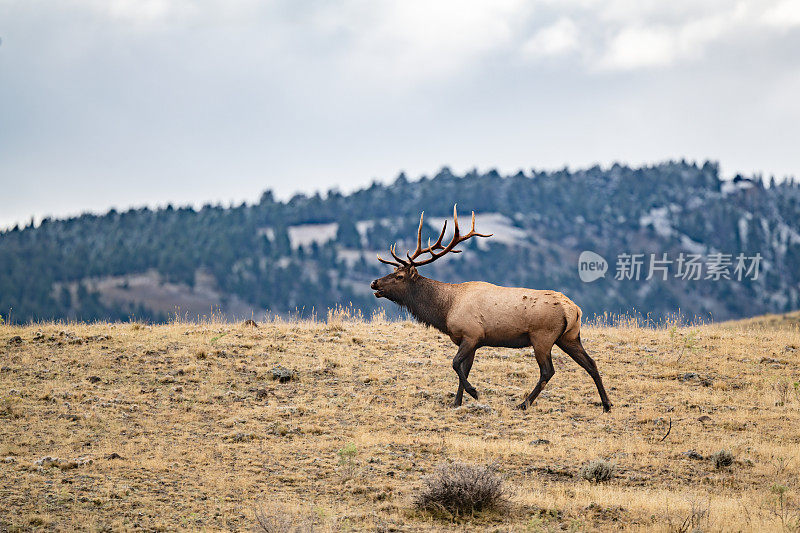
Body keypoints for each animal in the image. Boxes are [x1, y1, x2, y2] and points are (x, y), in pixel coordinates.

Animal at [370, 205, 612, 412]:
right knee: (591, 363)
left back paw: (524, 404)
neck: (446, 309)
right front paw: (457, 402)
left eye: (399, 276)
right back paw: (607, 404)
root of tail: (574, 310)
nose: (375, 283)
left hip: (542, 336)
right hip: (569, 337)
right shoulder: (472, 341)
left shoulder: (471, 334)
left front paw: (474, 392)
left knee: (548, 371)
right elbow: (464, 369)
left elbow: (455, 364)